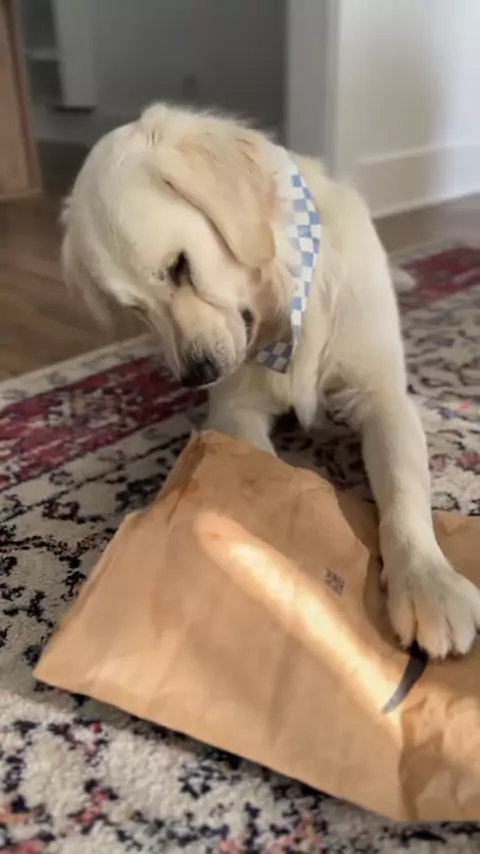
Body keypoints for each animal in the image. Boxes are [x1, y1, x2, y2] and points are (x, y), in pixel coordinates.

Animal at [62, 103, 480, 659]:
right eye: (135, 309)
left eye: (179, 267)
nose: (196, 375)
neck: (282, 311)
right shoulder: (233, 408)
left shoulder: (382, 396)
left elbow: (405, 490)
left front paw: (427, 582)